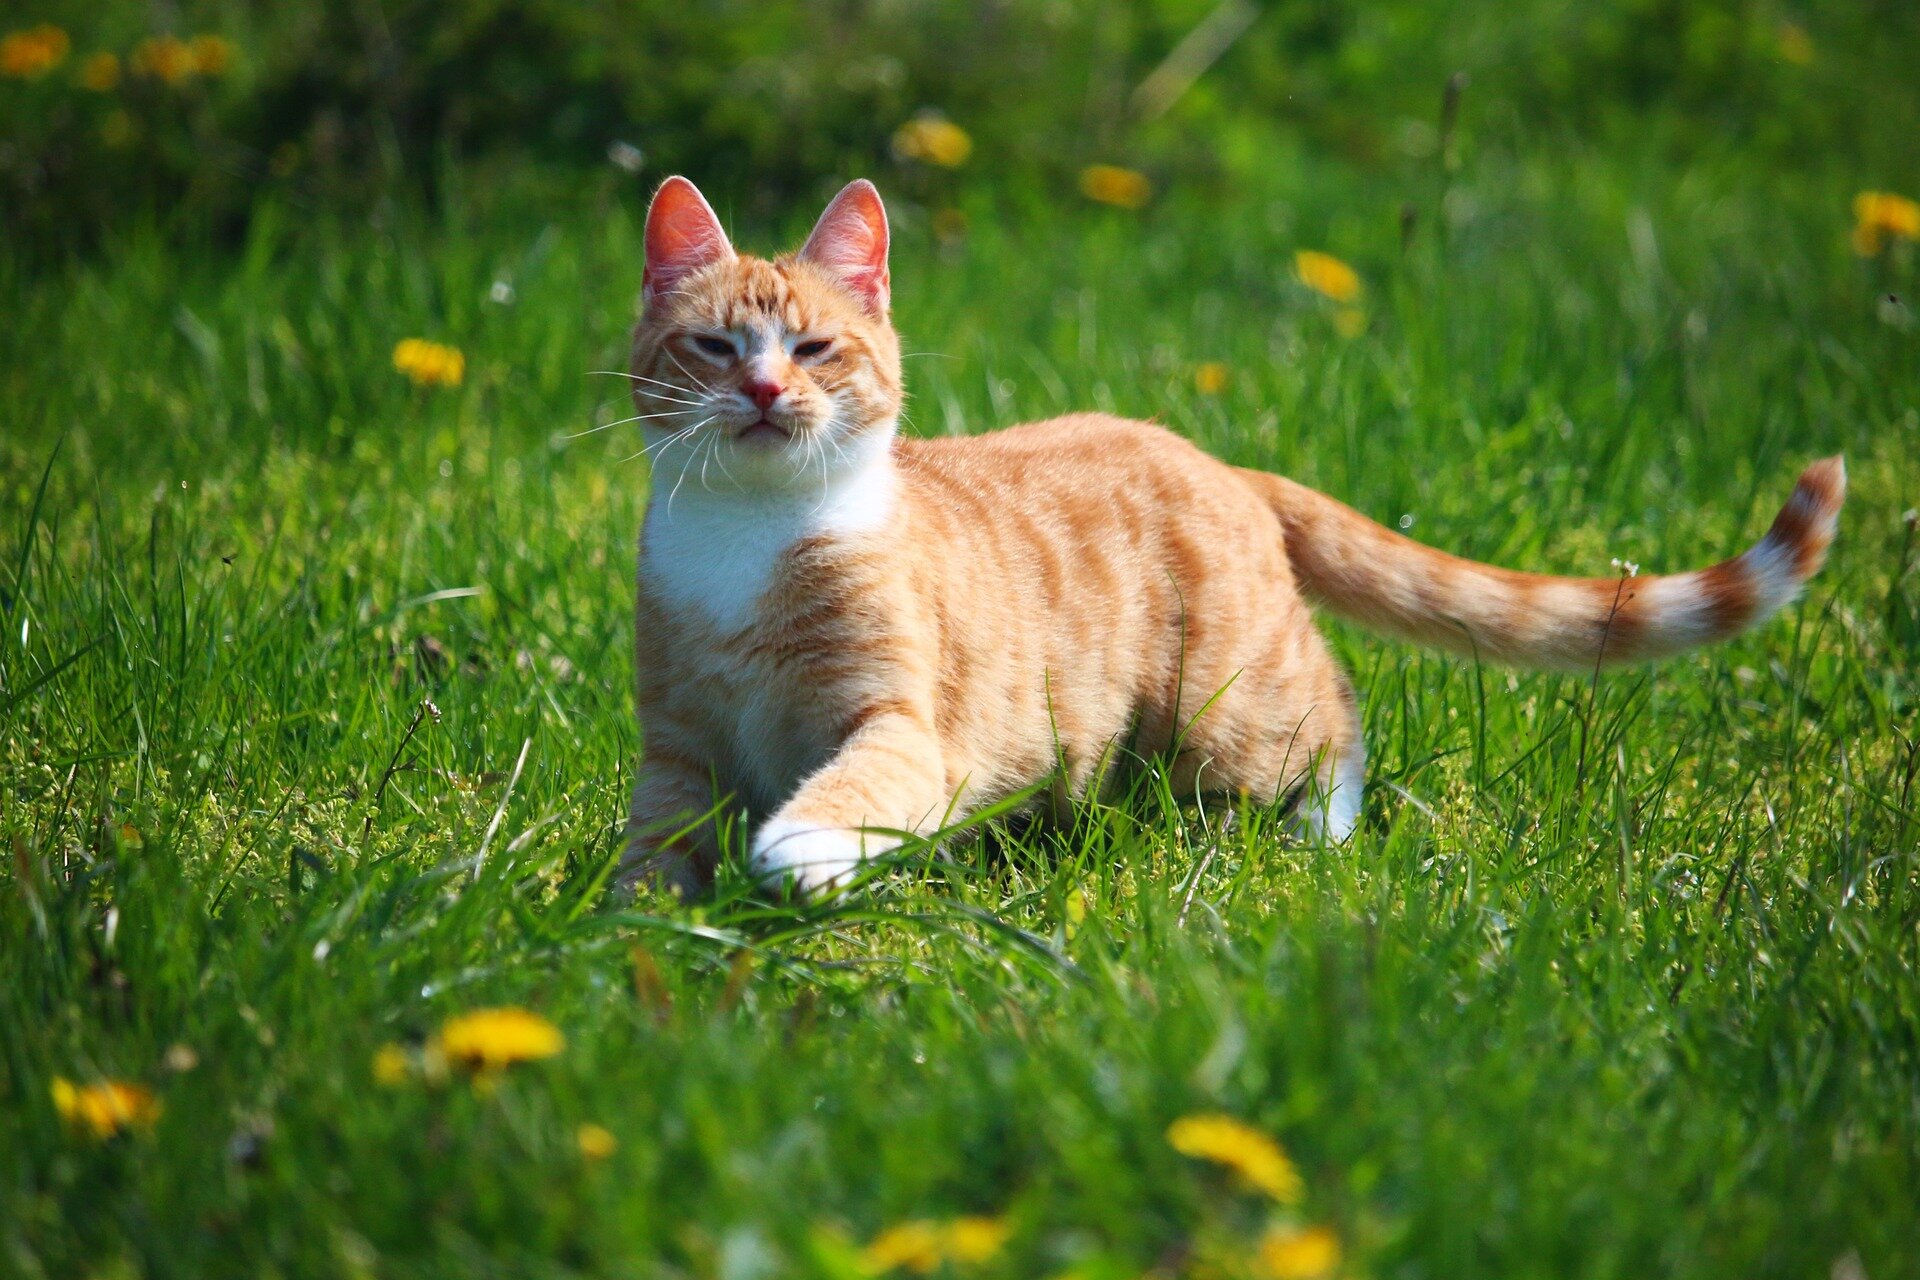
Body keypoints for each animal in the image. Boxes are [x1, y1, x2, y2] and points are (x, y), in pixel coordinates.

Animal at [614, 177, 1843, 901]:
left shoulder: (904, 723)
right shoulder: (676, 748)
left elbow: (855, 785)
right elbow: (653, 852)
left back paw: (1321, 839)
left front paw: (800, 852)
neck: (748, 541)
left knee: (1331, 721)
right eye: (716, 347)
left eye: (815, 347)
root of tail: (1211, 458)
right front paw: (636, 938)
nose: (765, 391)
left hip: (1233, 704)